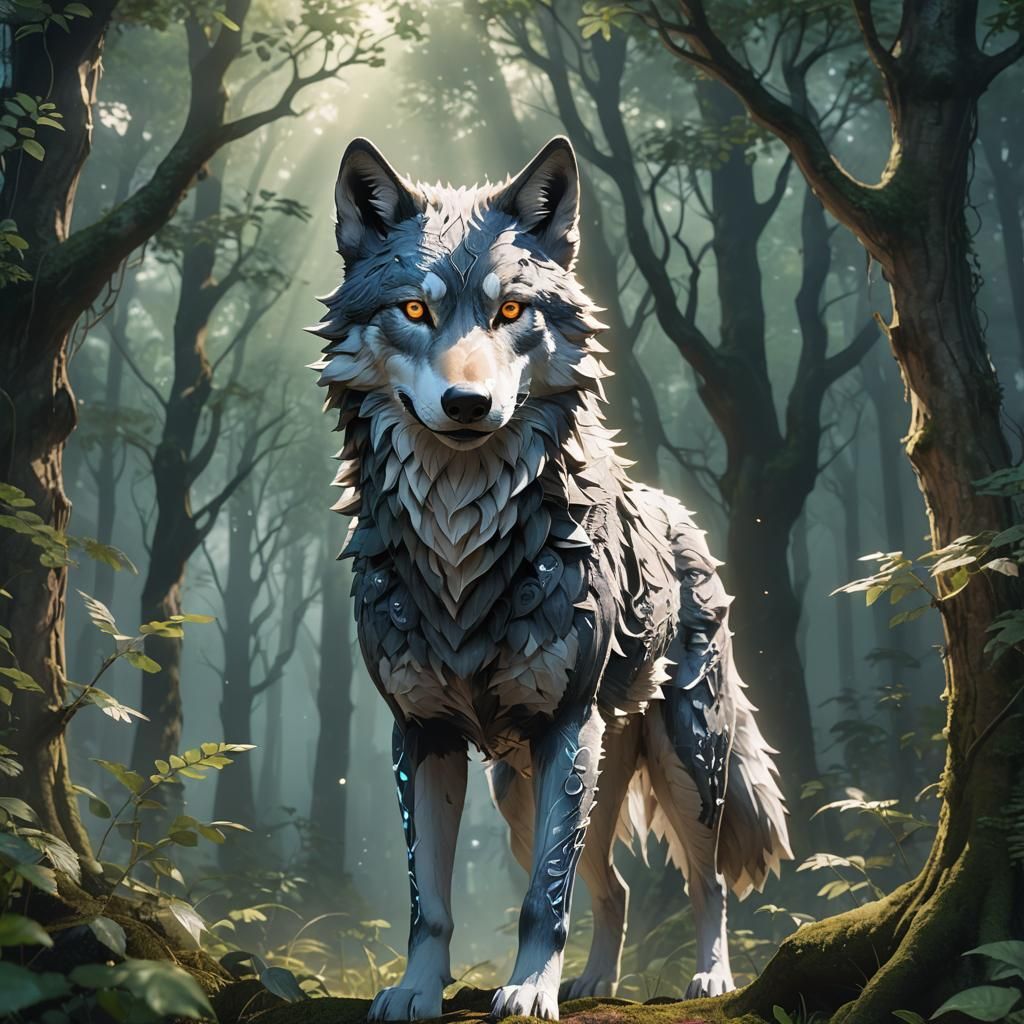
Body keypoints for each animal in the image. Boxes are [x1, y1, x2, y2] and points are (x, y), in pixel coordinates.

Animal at [310, 136, 791, 1021]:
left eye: (510, 312)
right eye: (416, 311)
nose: (468, 403)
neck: (461, 545)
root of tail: (682, 516)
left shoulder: (566, 726)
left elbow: (544, 896)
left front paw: (528, 991)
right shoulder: (420, 736)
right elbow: (429, 902)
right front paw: (417, 992)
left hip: (680, 762)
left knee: (702, 880)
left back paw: (710, 978)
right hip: (526, 789)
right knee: (616, 888)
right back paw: (598, 981)